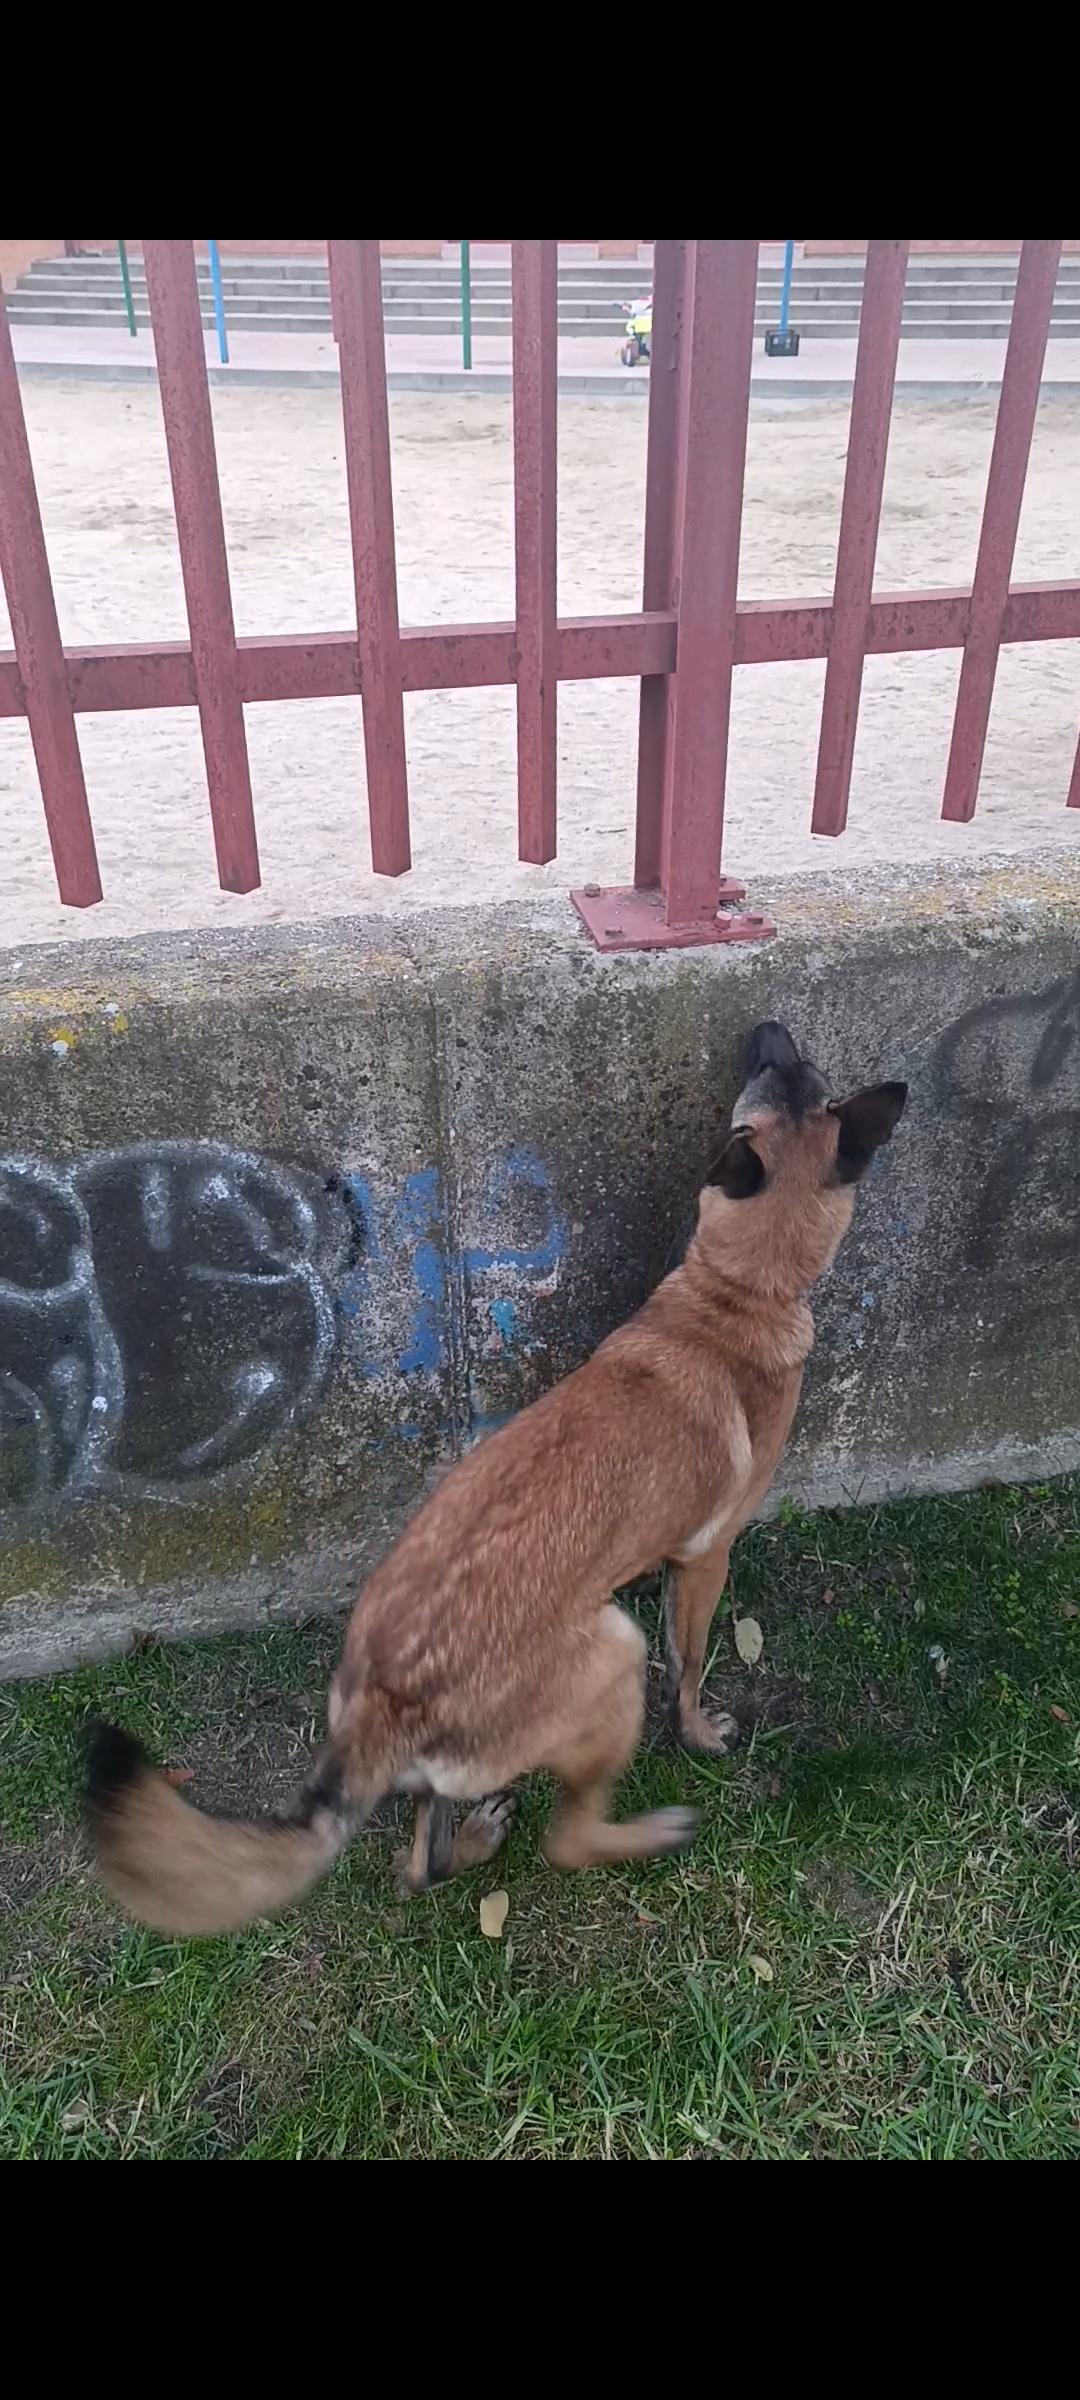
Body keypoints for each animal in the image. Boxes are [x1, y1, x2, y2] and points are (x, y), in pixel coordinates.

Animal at [84, 1022, 902, 1939]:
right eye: (785, 1072)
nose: (768, 1030)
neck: (737, 1294)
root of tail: (390, 1701)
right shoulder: (705, 1560)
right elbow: (688, 1667)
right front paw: (700, 1733)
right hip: (612, 1655)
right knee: (568, 1839)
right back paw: (651, 1832)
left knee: (421, 1863)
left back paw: (473, 1839)